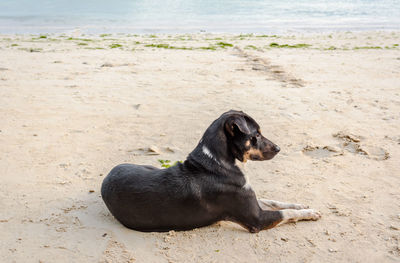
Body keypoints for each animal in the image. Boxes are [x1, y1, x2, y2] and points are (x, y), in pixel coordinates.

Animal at [101, 110, 320, 234]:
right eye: (256, 135)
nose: (278, 149)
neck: (221, 162)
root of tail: (106, 178)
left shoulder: (251, 198)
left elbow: (276, 201)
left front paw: (301, 204)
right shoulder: (255, 218)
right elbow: (285, 212)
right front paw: (310, 213)